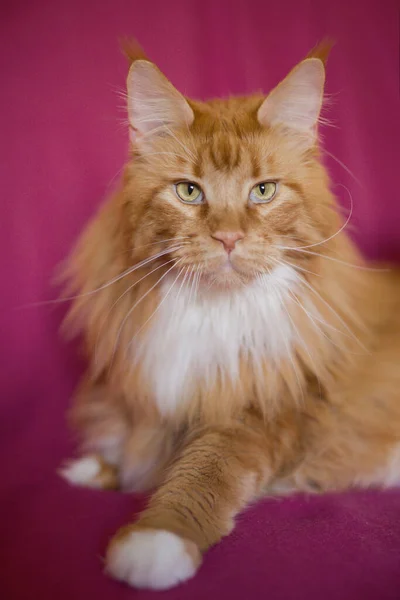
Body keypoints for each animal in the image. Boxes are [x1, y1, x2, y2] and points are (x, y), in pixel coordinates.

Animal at [59, 41, 400, 592]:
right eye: (188, 191)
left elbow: (203, 474)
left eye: (263, 191)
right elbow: (131, 437)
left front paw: (156, 540)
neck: (212, 313)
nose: (228, 237)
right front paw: (98, 468)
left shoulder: (260, 414)